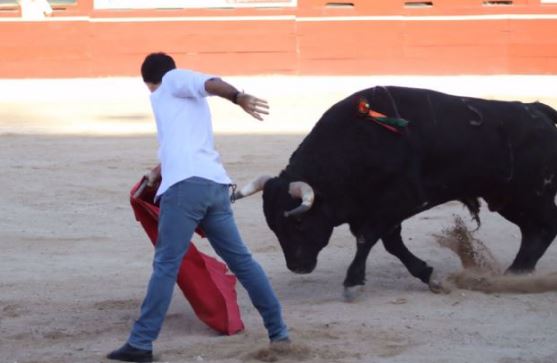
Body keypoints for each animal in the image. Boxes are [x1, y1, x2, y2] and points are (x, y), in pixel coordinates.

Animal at [232, 85, 556, 298]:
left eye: (298, 221)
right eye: (273, 226)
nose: (298, 267)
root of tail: (538, 109)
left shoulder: (398, 202)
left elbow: (368, 238)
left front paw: (352, 282)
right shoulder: (368, 210)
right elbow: (391, 243)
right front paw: (429, 275)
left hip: (530, 195)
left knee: (543, 227)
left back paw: (514, 277)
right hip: (510, 199)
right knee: (535, 231)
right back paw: (515, 274)